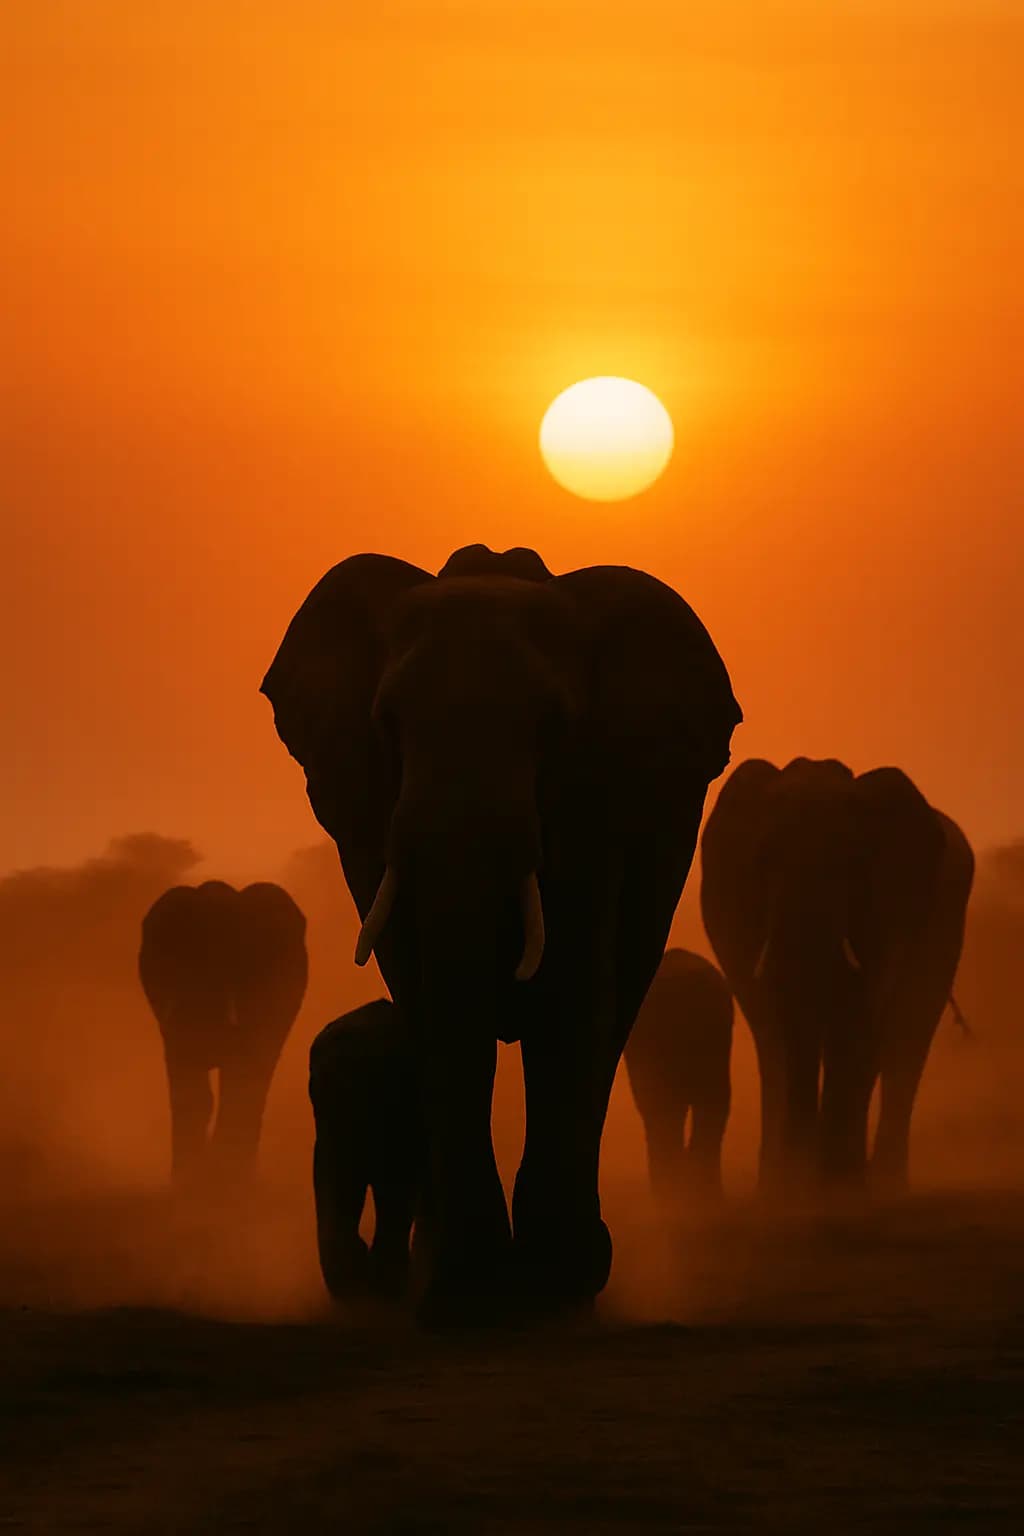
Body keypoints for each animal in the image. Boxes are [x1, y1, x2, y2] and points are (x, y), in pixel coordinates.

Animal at [139, 880, 308, 1186]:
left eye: (232, 957)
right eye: (174, 961)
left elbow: (240, 1076)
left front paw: (223, 1178)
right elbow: (187, 1083)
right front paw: (189, 1181)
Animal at [699, 758, 974, 1195]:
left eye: (853, 865)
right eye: (763, 860)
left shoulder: (889, 910)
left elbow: (858, 1017)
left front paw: (834, 1188)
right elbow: (779, 1028)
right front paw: (793, 1188)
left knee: (905, 1043)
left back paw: (882, 1185)